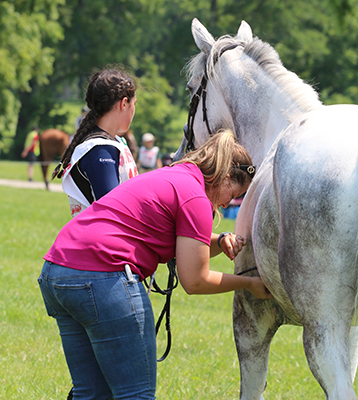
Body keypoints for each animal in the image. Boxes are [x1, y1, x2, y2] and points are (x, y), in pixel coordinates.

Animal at [177, 18, 358, 400]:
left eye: (191, 88)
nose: (181, 151)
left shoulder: (251, 315)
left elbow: (252, 387)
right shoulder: (352, 330)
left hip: (322, 328)